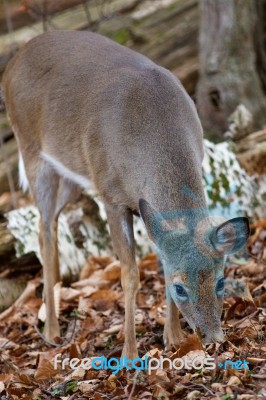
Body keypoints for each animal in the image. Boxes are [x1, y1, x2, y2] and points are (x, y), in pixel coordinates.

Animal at [1, 29, 249, 358]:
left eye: (221, 281)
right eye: (180, 288)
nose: (213, 338)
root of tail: (13, 62)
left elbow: (162, 260)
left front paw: (174, 339)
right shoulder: (111, 195)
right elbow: (129, 275)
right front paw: (129, 354)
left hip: (71, 174)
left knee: (50, 224)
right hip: (32, 152)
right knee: (43, 230)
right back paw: (52, 330)